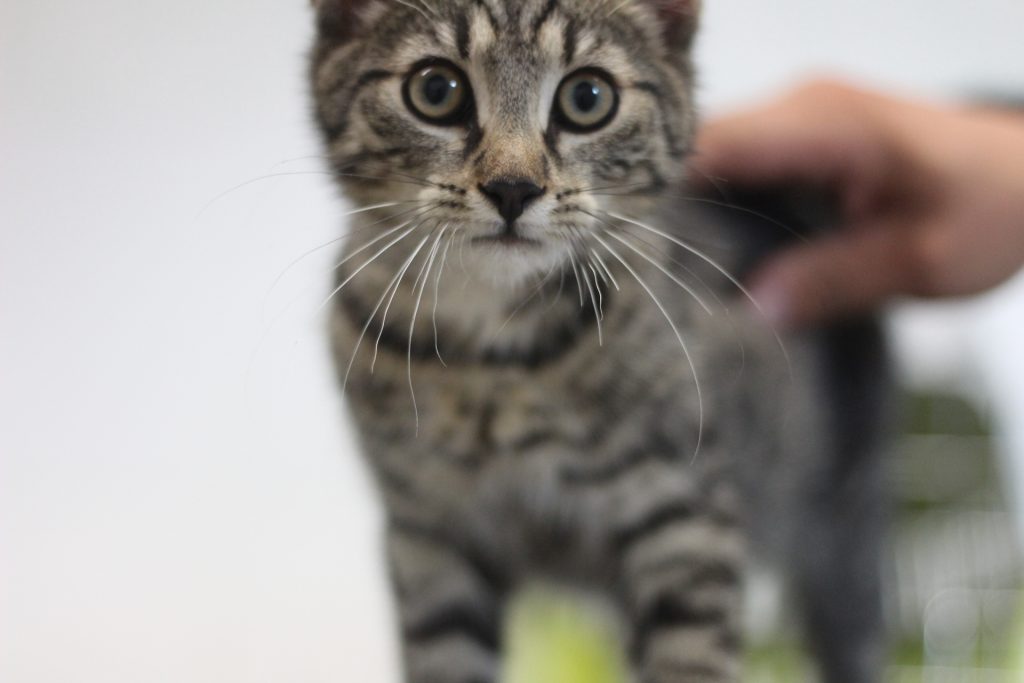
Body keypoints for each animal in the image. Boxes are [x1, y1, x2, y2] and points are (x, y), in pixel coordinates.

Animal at [308, 1, 889, 681]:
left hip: (845, 519)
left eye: (588, 98)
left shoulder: (685, 510)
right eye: (435, 90)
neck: (489, 358)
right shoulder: (426, 534)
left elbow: (691, 657)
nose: (513, 188)